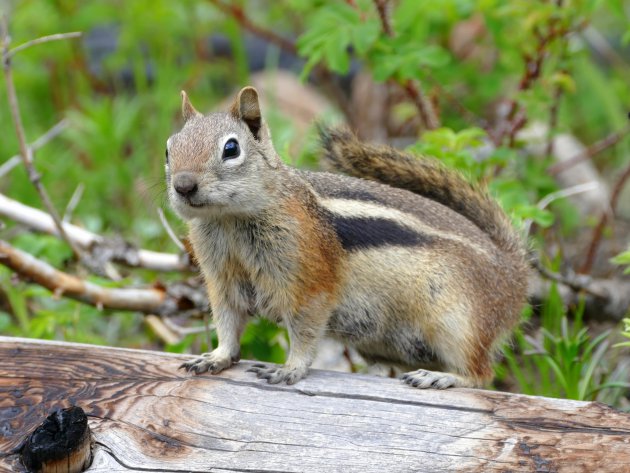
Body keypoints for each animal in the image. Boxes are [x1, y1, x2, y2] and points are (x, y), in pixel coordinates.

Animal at [168, 85, 528, 388]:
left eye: (231, 148)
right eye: (170, 148)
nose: (183, 185)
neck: (229, 221)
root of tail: (512, 271)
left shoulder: (310, 281)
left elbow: (305, 328)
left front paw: (290, 368)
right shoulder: (223, 279)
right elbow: (227, 321)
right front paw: (216, 357)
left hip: (458, 322)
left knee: (480, 374)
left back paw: (441, 378)